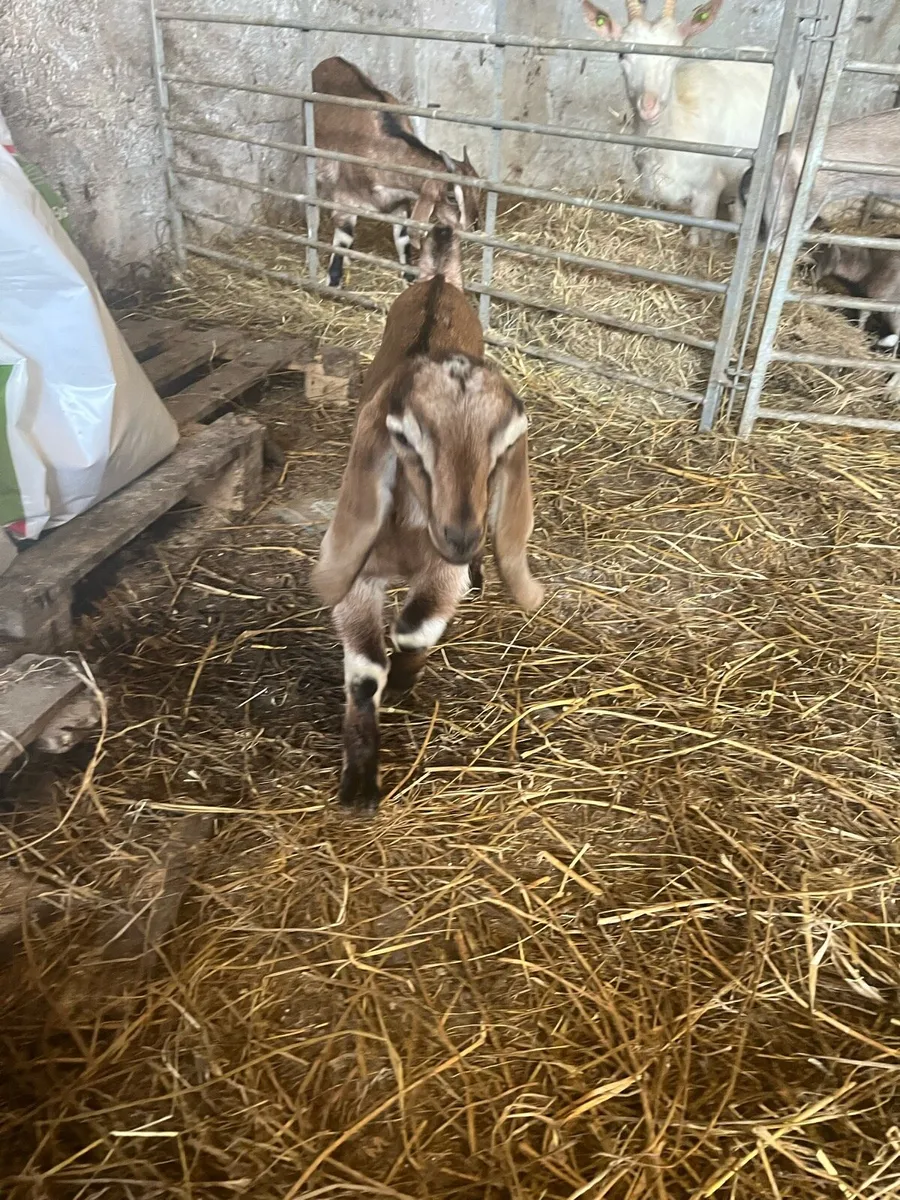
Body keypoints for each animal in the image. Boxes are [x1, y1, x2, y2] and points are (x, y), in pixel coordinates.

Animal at [310, 57, 482, 288]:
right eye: (451, 197)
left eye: (477, 192)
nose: (473, 227)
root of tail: (330, 60)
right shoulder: (345, 199)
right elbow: (343, 237)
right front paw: (333, 283)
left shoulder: (399, 203)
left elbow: (403, 238)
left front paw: (409, 279)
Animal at [312, 224, 543, 811]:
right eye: (406, 441)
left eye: (502, 450)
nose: (461, 537)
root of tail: (439, 277)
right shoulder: (359, 570)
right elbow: (364, 670)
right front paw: (360, 781)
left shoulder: (444, 570)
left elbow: (415, 630)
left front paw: (402, 682)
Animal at [583, 0, 799, 245]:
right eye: (621, 54)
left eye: (676, 52)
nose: (649, 106)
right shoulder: (652, 193)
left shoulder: (708, 191)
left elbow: (696, 237)